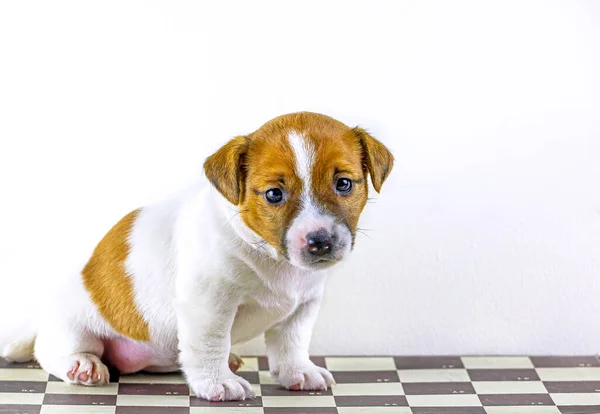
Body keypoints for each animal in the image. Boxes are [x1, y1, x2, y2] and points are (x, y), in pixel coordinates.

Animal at [0, 111, 394, 402]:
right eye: (274, 194)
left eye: (343, 184)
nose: (319, 241)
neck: (271, 259)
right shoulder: (209, 304)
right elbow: (209, 343)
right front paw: (217, 383)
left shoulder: (303, 307)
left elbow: (292, 343)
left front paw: (298, 371)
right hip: (73, 326)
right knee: (52, 351)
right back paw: (82, 363)